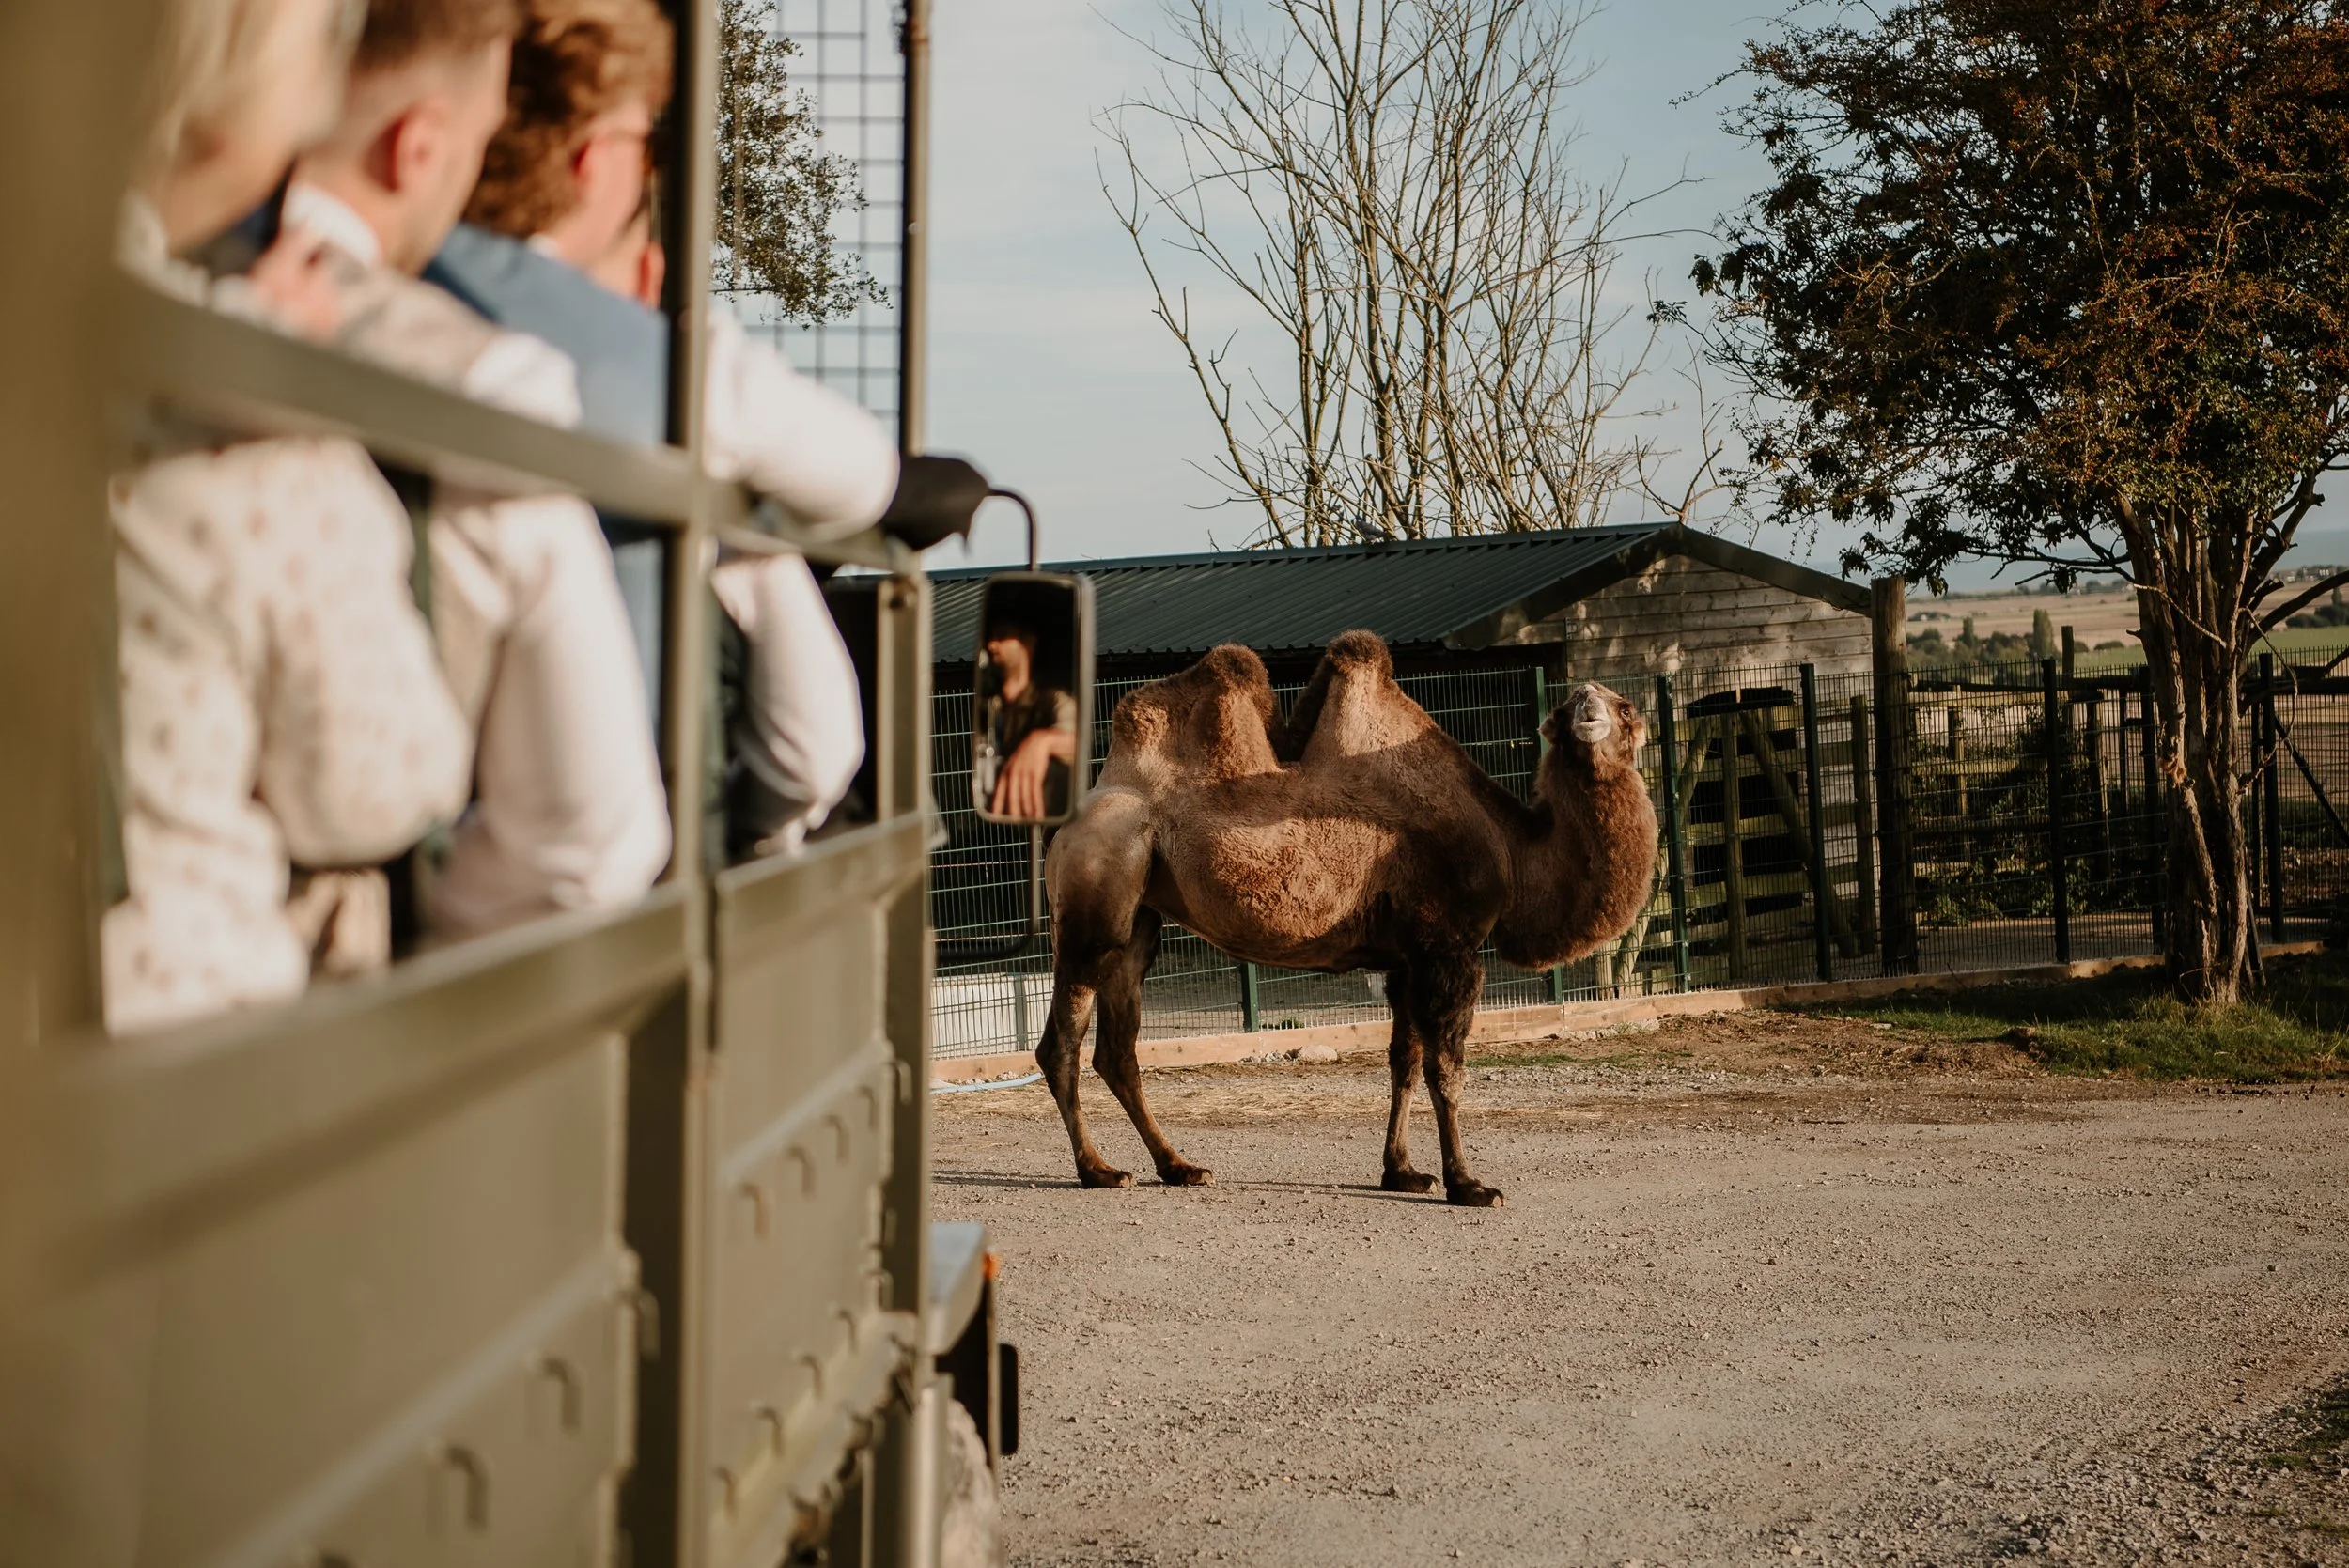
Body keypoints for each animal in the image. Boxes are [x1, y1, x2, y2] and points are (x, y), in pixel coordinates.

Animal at [1037, 629, 1659, 1207]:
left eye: (1626, 706)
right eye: (1569, 706)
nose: (1587, 701)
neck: (1510, 845)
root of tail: (1080, 811)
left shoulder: (1407, 957)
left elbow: (1404, 1059)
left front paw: (1403, 1173)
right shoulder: (1447, 947)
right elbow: (1446, 1068)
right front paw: (1469, 1184)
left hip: (1140, 918)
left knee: (1117, 1049)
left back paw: (1178, 1167)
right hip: (1097, 891)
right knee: (1062, 1043)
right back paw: (1098, 1170)